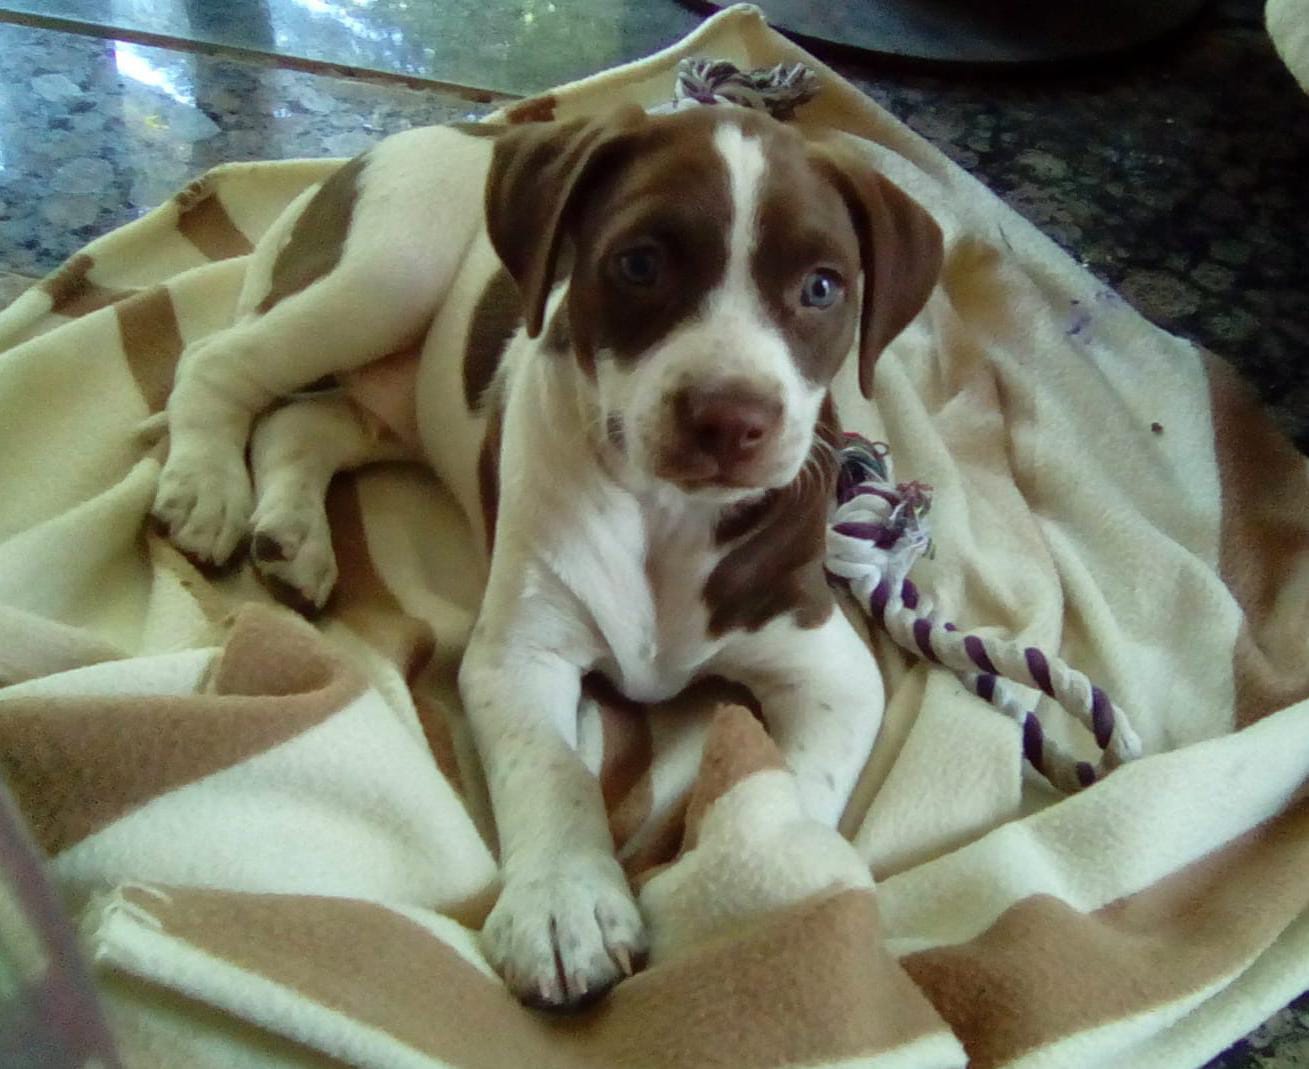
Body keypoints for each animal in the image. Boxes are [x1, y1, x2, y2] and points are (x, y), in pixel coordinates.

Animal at [148, 106, 942, 1010]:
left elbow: (795, 788)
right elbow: (552, 769)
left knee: (300, 423)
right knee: (218, 363)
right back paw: (207, 487)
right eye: (639, 263)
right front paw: (564, 904)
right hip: (390, 269)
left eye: (821, 287)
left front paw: (752, 874)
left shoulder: (827, 667)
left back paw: (290, 534)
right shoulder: (518, 654)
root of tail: (461, 129)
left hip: (392, 398)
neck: (666, 515)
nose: (729, 419)